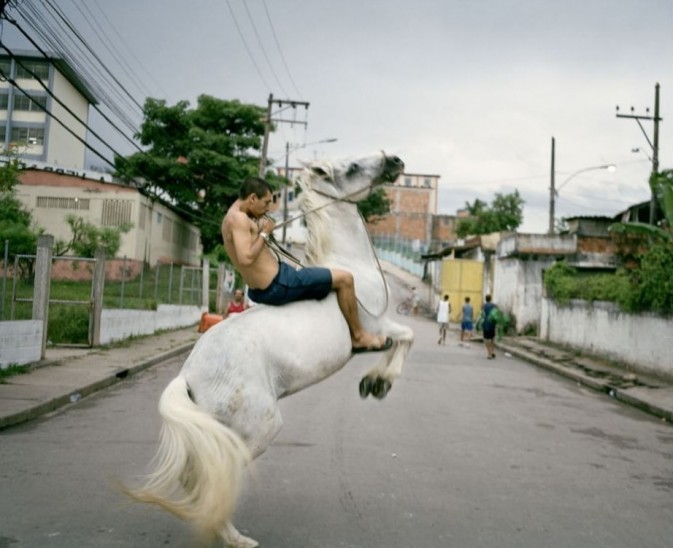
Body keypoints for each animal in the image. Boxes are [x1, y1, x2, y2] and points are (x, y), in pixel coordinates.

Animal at [123, 151, 412, 548]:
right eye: (352, 167)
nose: (396, 160)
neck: (351, 266)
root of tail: (188, 376)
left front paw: (374, 383)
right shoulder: (378, 324)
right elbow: (407, 337)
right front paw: (378, 383)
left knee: (197, 475)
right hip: (259, 426)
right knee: (218, 474)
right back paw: (235, 537)